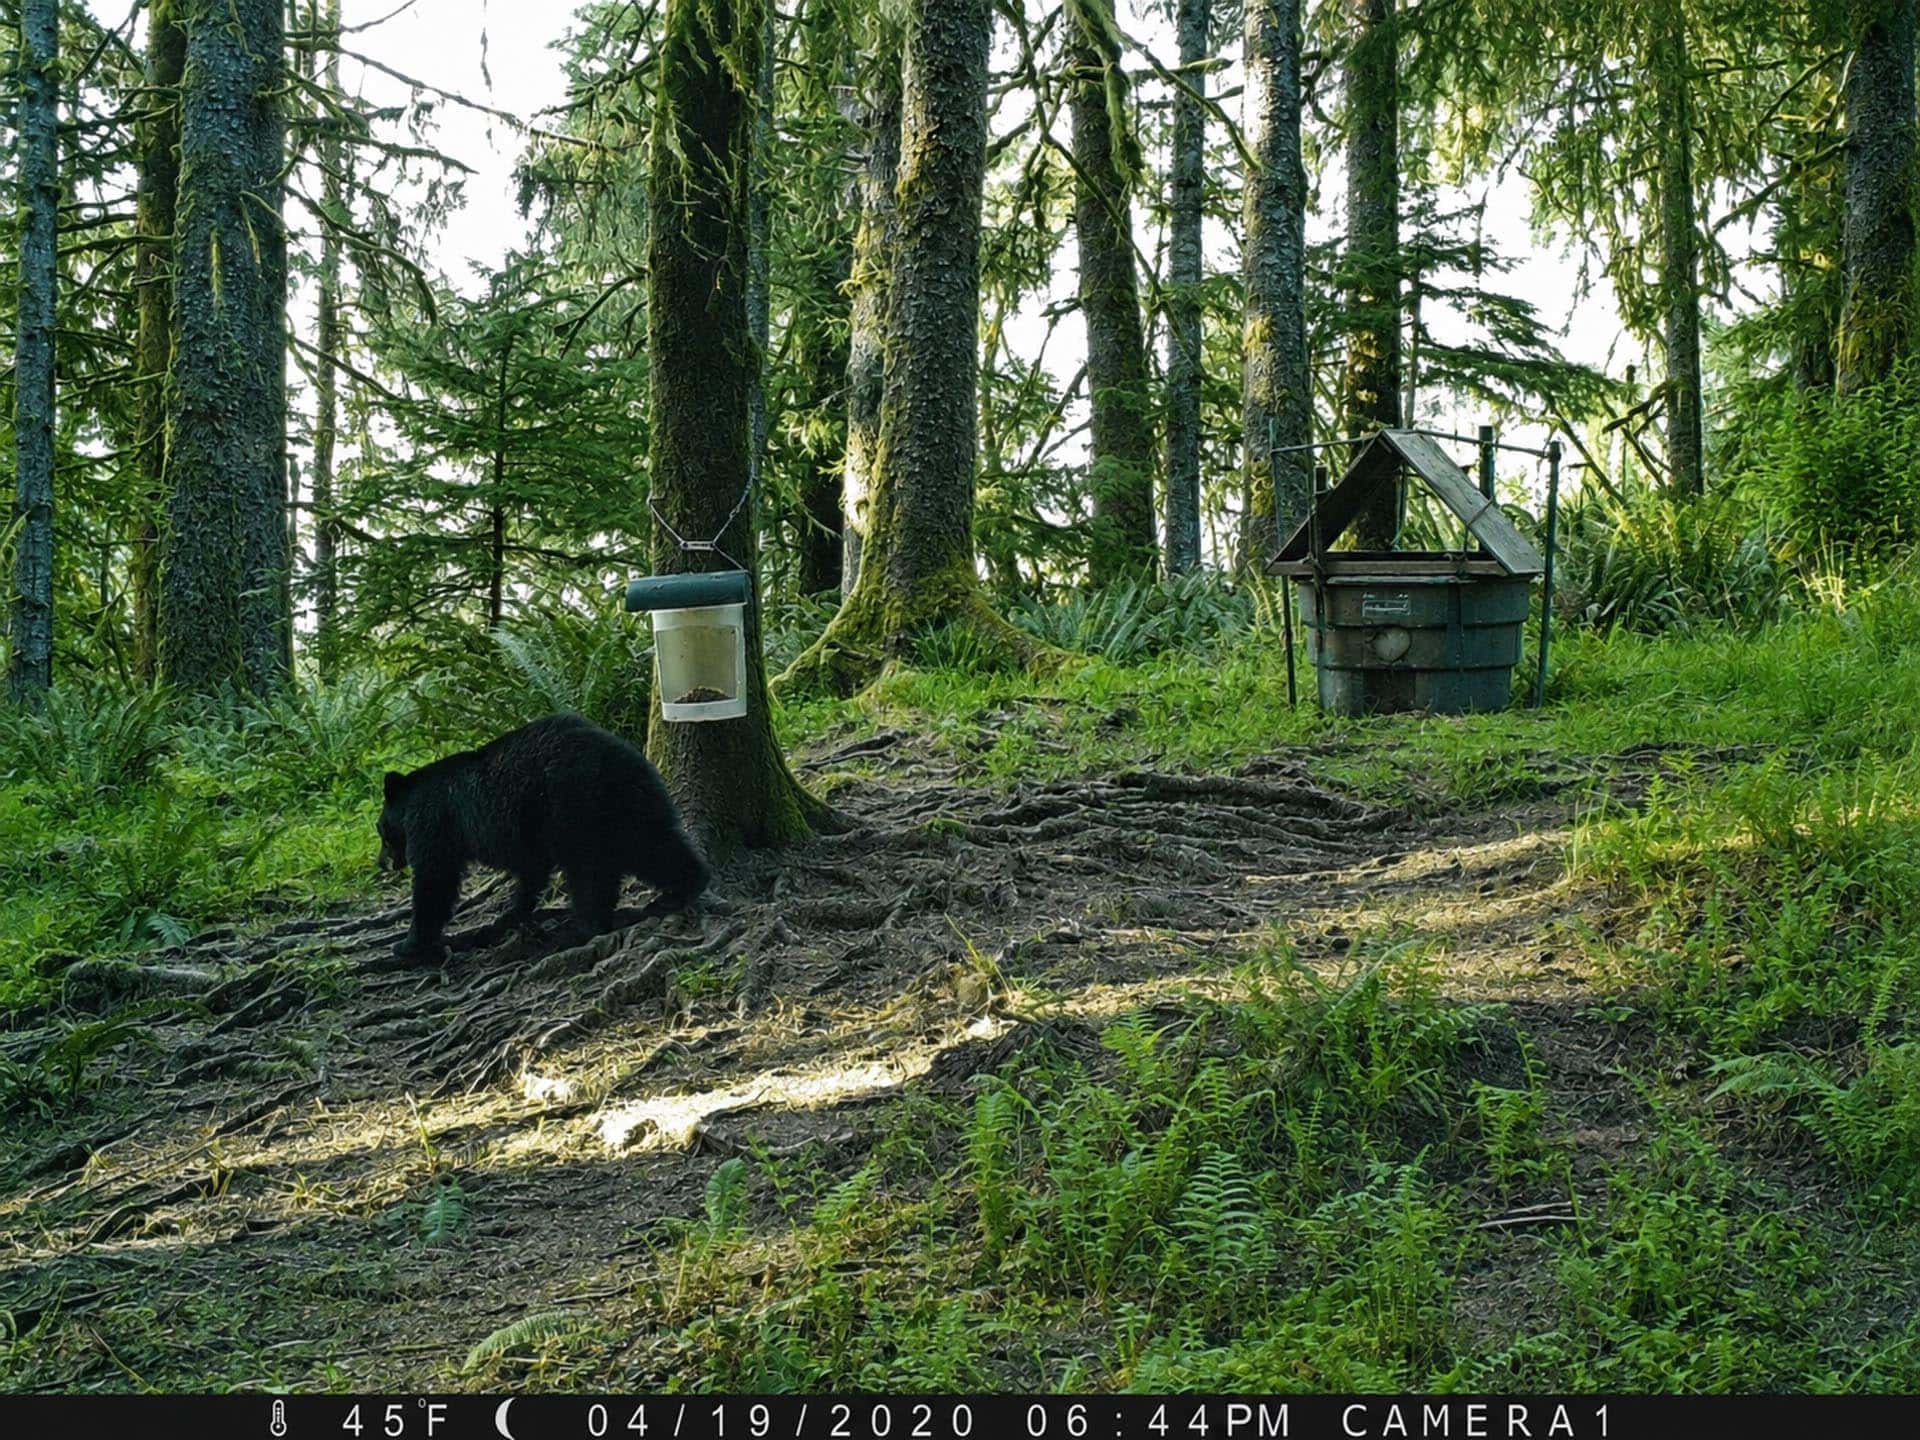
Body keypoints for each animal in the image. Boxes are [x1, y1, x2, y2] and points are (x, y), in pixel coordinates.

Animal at [377, 713, 711, 962]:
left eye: (380, 831)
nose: (381, 863)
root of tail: (616, 756)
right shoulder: (527, 835)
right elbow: (531, 873)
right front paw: (511, 915)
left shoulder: (433, 823)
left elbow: (435, 879)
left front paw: (409, 945)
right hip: (631, 805)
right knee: (654, 846)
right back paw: (683, 887)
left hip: (573, 808)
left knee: (589, 873)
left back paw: (585, 927)